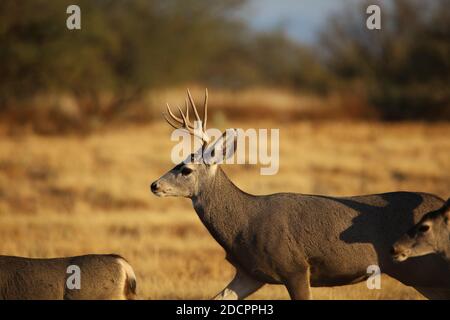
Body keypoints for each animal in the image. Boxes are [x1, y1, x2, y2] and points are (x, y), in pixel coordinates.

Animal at [151, 89, 450, 300]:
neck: (243, 224)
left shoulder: (294, 266)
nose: (154, 185)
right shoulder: (250, 273)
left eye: (186, 169)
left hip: (425, 267)